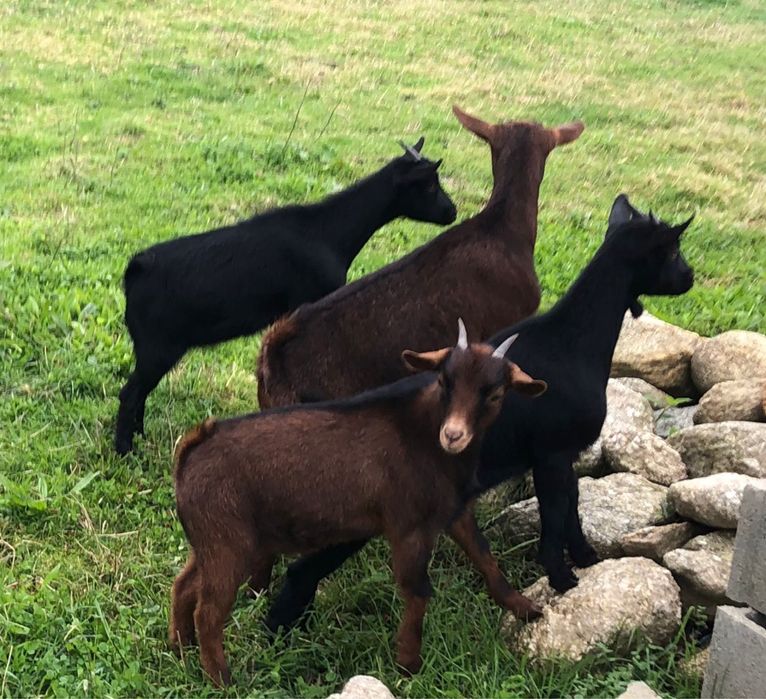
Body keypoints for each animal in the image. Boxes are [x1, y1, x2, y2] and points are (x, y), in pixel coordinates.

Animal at [114, 139, 457, 454]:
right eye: (428, 186)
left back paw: (140, 436)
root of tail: (136, 269)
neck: (328, 230)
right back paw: (125, 450)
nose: (452, 212)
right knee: (130, 394)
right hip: (158, 348)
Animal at [169, 321, 547, 686]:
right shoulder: (407, 526)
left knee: (184, 585)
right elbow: (417, 590)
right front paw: (409, 664)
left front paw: (527, 609)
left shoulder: (452, 511)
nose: (453, 435)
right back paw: (221, 679)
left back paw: (180, 649)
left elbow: (484, 557)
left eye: (495, 394)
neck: (424, 436)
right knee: (209, 611)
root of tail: (190, 453)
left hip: (210, 542)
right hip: (229, 544)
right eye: (444, 381)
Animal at [264, 195, 695, 631]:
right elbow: (555, 517)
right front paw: (561, 579)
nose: (690, 277)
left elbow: (572, 507)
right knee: (301, 569)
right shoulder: (552, 455)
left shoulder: (564, 455)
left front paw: (586, 558)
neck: (573, 340)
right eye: (674, 250)